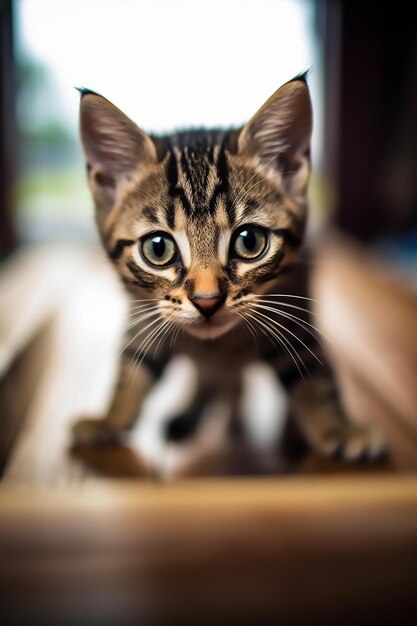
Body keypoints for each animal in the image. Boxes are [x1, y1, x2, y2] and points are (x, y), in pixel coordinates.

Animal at [70, 74, 384, 464]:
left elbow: (314, 379)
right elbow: (131, 372)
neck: (218, 345)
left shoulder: (295, 316)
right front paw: (108, 419)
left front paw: (338, 428)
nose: (207, 301)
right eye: (158, 248)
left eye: (249, 242)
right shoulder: (143, 318)